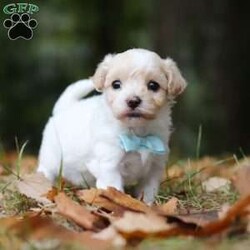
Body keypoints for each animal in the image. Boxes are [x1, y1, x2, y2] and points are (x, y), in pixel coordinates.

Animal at [36, 48, 186, 203]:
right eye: (116, 84)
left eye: (153, 85)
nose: (133, 101)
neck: (137, 134)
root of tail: (64, 108)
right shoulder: (109, 164)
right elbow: (114, 187)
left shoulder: (155, 167)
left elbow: (149, 189)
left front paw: (148, 204)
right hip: (50, 158)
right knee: (46, 170)